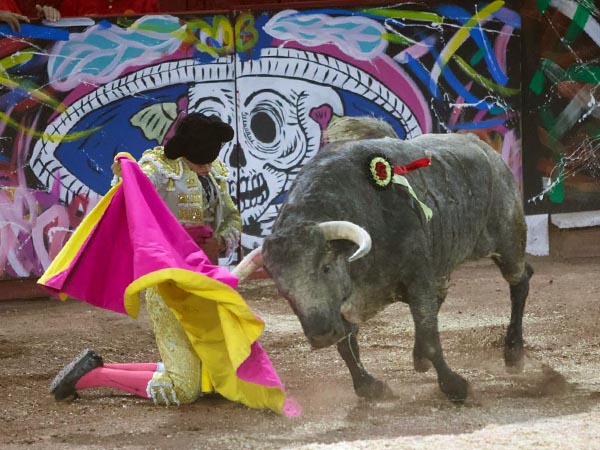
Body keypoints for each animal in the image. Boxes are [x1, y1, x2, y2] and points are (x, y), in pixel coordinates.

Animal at [234, 118, 536, 402]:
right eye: (283, 290)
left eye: (326, 267)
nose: (320, 335)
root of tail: (487, 150)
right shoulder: (344, 304)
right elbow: (347, 346)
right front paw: (370, 387)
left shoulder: (417, 278)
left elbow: (429, 334)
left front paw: (455, 386)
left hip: (508, 241)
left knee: (521, 280)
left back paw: (513, 354)